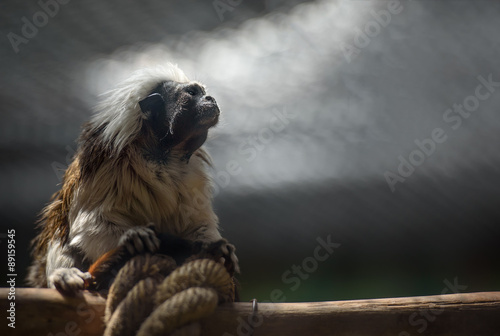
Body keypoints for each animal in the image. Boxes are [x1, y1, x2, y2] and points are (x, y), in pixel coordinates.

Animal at [27, 64, 238, 292]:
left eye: (203, 92)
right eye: (192, 93)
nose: (211, 99)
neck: (162, 155)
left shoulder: (193, 173)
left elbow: (196, 222)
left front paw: (218, 248)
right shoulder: (104, 163)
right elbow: (89, 223)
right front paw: (132, 237)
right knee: (60, 234)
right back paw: (63, 274)